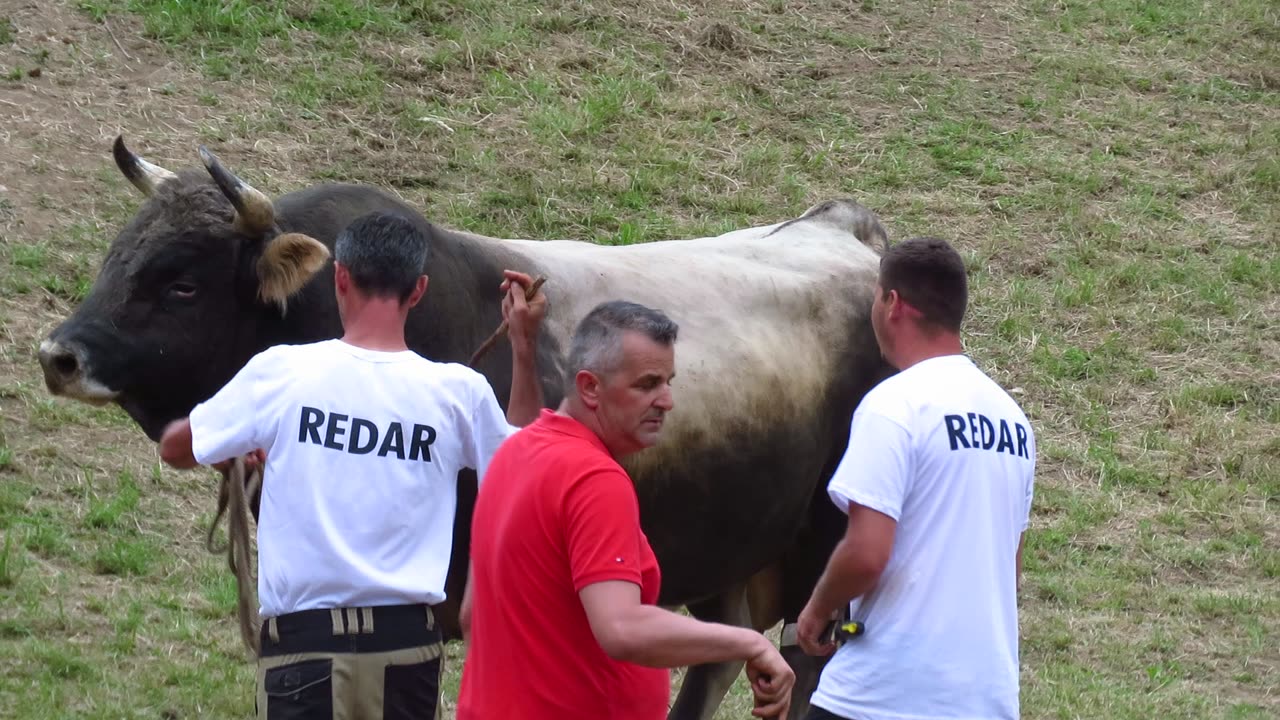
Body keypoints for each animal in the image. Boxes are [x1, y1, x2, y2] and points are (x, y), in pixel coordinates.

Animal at [37, 135, 890, 717]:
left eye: (182, 283)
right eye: (118, 256)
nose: (59, 355)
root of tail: (847, 238)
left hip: (821, 564)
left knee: (806, 670)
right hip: (727, 553)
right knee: (724, 658)